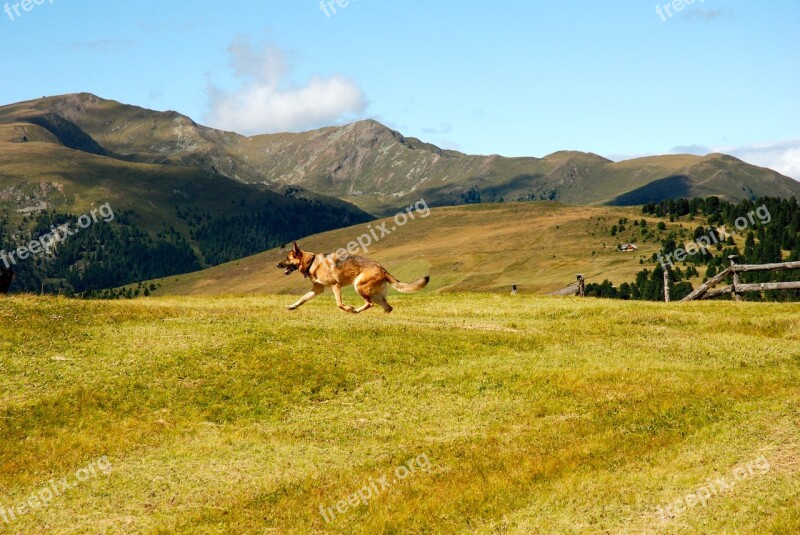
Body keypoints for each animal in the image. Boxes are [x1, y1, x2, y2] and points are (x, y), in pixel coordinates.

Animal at [276, 243, 428, 314]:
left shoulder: (335, 286)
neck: (312, 262)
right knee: (388, 307)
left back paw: (354, 311)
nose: (277, 265)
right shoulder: (317, 290)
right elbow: (302, 299)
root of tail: (382, 268)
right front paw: (292, 307)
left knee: (369, 304)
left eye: (287, 259)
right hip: (375, 295)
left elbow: (339, 304)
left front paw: (348, 308)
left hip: (359, 286)